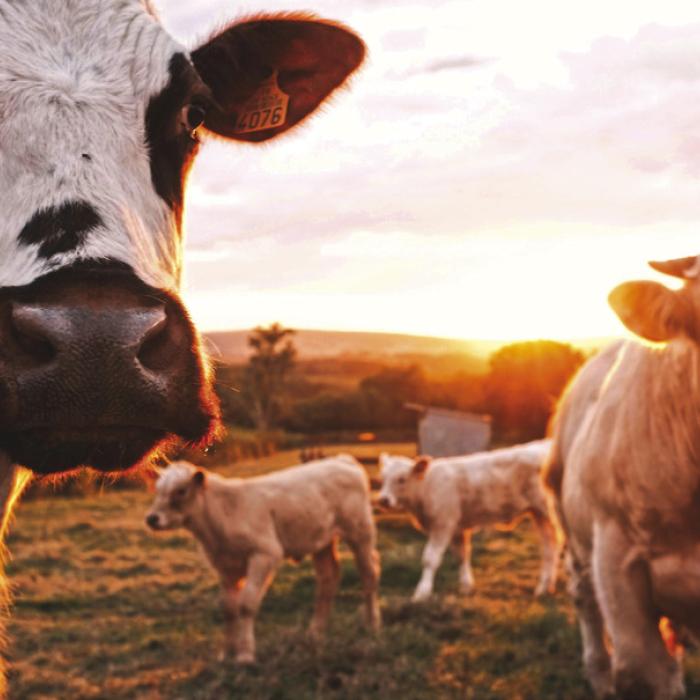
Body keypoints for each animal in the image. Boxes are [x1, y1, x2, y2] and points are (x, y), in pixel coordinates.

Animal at [145, 456, 381, 664]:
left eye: (181, 490)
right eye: (157, 489)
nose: (152, 518)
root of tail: (342, 460)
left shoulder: (265, 553)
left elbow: (246, 604)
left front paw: (245, 654)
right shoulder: (224, 566)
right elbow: (228, 608)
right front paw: (226, 653)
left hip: (360, 531)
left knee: (369, 572)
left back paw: (372, 624)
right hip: (321, 540)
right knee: (328, 579)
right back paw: (315, 632)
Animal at [378, 440, 559, 602]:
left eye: (402, 479)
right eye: (383, 478)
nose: (383, 500)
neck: (426, 488)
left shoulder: (443, 525)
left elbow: (430, 559)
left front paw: (422, 592)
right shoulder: (458, 528)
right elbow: (462, 555)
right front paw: (466, 586)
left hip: (548, 511)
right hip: (539, 514)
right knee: (549, 546)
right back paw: (545, 587)